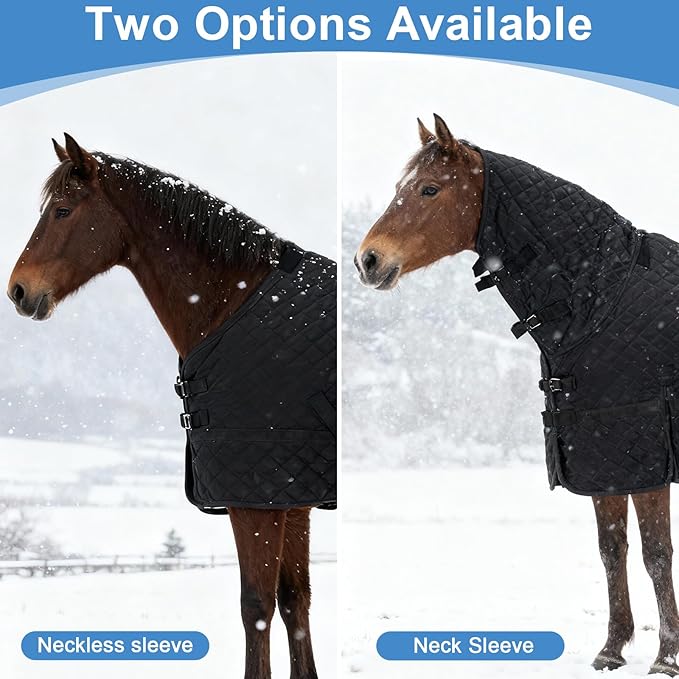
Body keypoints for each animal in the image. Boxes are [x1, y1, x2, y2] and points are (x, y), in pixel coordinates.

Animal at [7, 134, 331, 679]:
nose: (18, 290)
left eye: (63, 210)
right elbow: (295, 602)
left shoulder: (255, 501)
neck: (233, 304)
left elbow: (257, 606)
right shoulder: (292, 499)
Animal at [355, 114, 679, 675]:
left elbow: (656, 553)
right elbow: (610, 547)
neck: (602, 301)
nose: (367, 260)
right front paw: (612, 648)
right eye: (401, 186)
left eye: (429, 188)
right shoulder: (598, 455)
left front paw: (666, 656)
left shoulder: (642, 451)